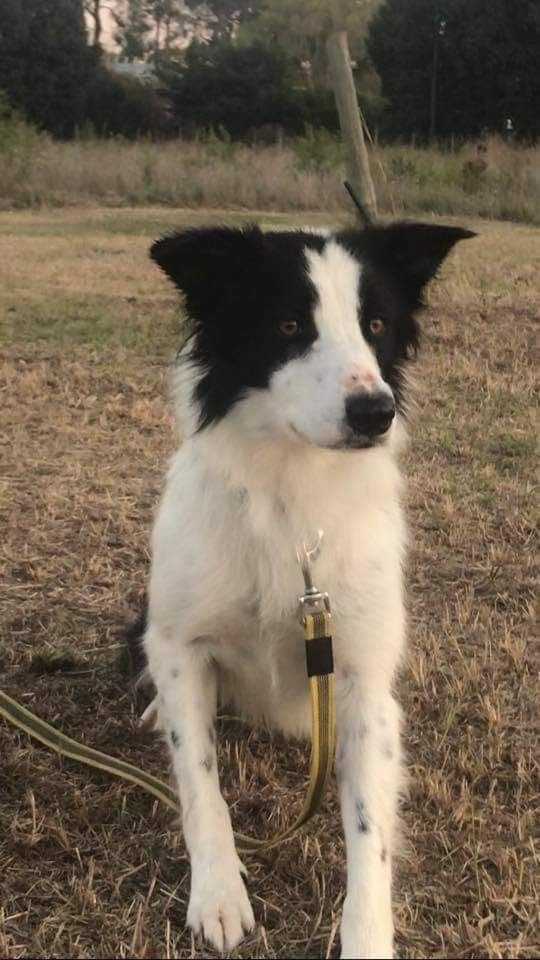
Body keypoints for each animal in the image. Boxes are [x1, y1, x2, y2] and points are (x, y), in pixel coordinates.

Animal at [138, 221, 472, 956]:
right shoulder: (180, 643)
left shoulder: (363, 678)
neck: (290, 495)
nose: (374, 411)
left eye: (376, 324)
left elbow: (370, 832)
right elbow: (200, 780)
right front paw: (219, 892)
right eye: (289, 324)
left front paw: (367, 937)